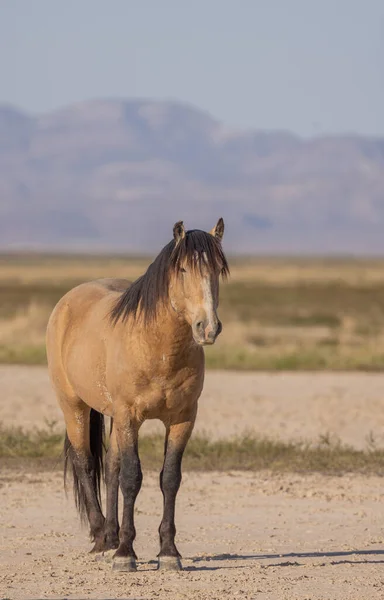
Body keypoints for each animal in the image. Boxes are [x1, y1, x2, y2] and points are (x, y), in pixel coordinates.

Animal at [46, 217, 230, 572]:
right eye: (182, 269)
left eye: (218, 269)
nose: (208, 328)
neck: (158, 348)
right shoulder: (130, 415)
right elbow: (132, 478)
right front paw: (125, 554)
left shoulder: (183, 418)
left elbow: (169, 478)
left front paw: (168, 553)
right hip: (74, 406)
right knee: (86, 464)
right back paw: (102, 540)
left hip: (113, 418)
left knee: (111, 467)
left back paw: (111, 537)